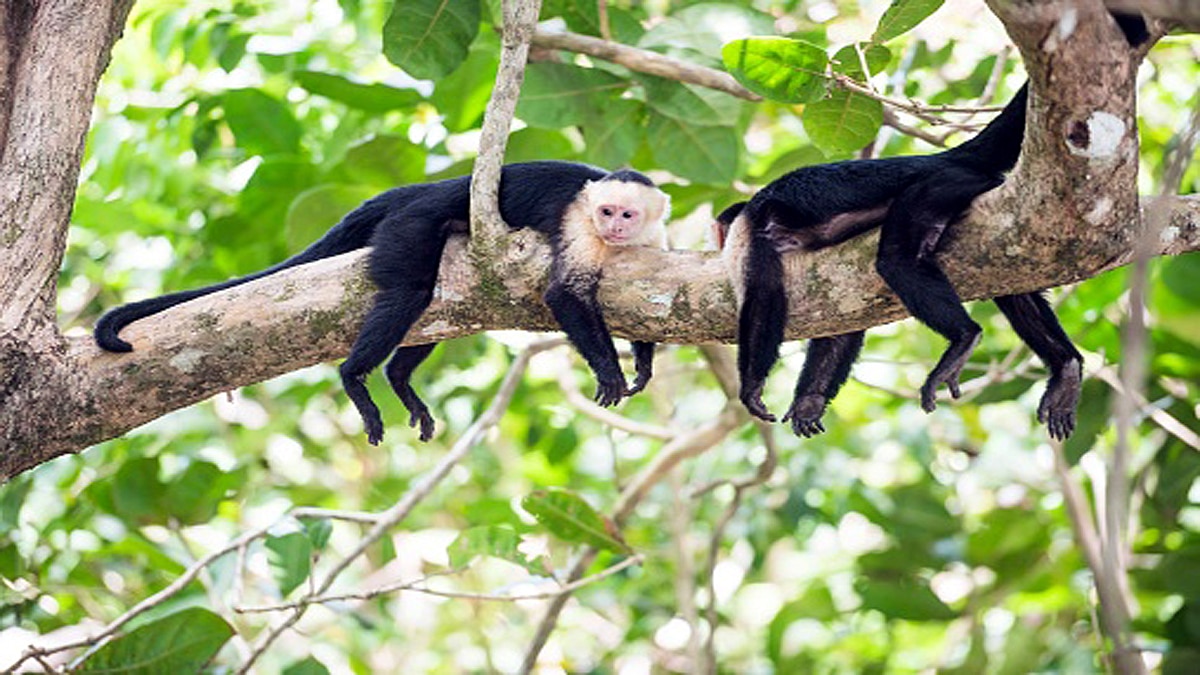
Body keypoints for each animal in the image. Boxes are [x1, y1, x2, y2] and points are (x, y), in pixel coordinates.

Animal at [95, 161, 671, 444]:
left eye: (627, 215)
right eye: (605, 210)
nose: (612, 226)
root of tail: (422, 189)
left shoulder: (651, 243)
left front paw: (642, 361)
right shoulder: (578, 225)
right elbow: (564, 294)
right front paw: (609, 371)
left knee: (441, 314)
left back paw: (399, 380)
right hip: (409, 226)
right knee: (411, 292)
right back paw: (356, 378)